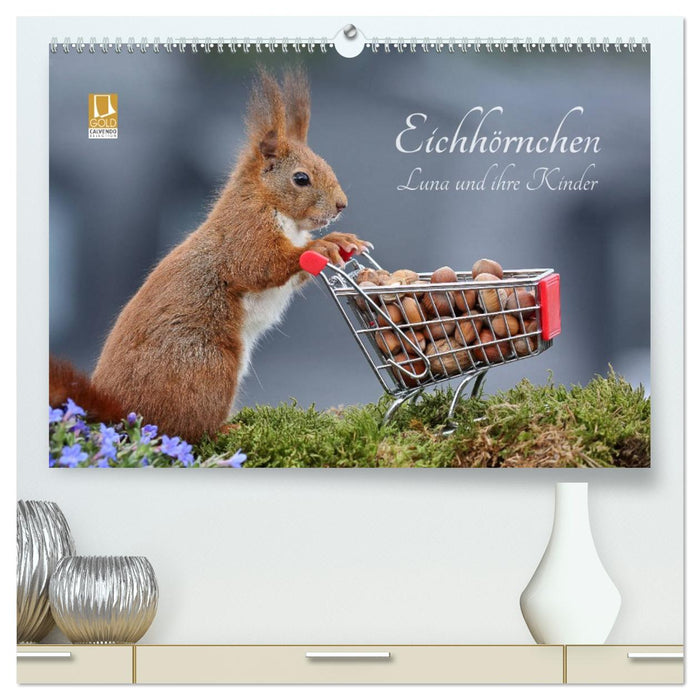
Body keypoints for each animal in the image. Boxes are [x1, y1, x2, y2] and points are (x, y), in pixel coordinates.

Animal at [50, 68, 371, 442]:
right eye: (301, 178)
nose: (341, 205)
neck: (277, 209)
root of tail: (122, 413)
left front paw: (342, 241)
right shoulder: (244, 231)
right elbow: (260, 264)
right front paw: (322, 246)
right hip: (207, 365)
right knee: (188, 430)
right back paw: (225, 429)